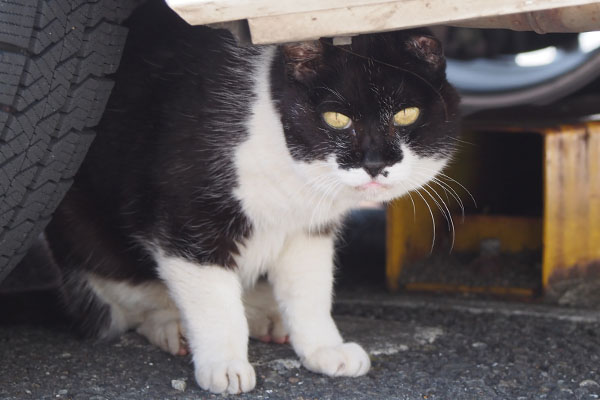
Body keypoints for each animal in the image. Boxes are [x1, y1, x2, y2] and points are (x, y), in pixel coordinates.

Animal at [45, 0, 460, 394]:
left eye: (405, 115)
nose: (374, 164)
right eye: (337, 119)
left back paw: (266, 318)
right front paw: (225, 366)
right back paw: (173, 327)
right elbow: (214, 303)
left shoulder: (308, 229)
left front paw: (324, 349)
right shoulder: (188, 219)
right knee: (131, 306)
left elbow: (310, 290)